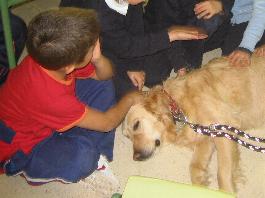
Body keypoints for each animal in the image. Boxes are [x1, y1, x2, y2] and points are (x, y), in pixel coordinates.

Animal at [122, 55, 264, 193]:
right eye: (128, 137)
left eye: (136, 125)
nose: (136, 157)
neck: (177, 105)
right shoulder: (207, 133)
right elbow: (194, 167)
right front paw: (200, 184)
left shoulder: (224, 127)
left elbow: (222, 173)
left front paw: (226, 191)